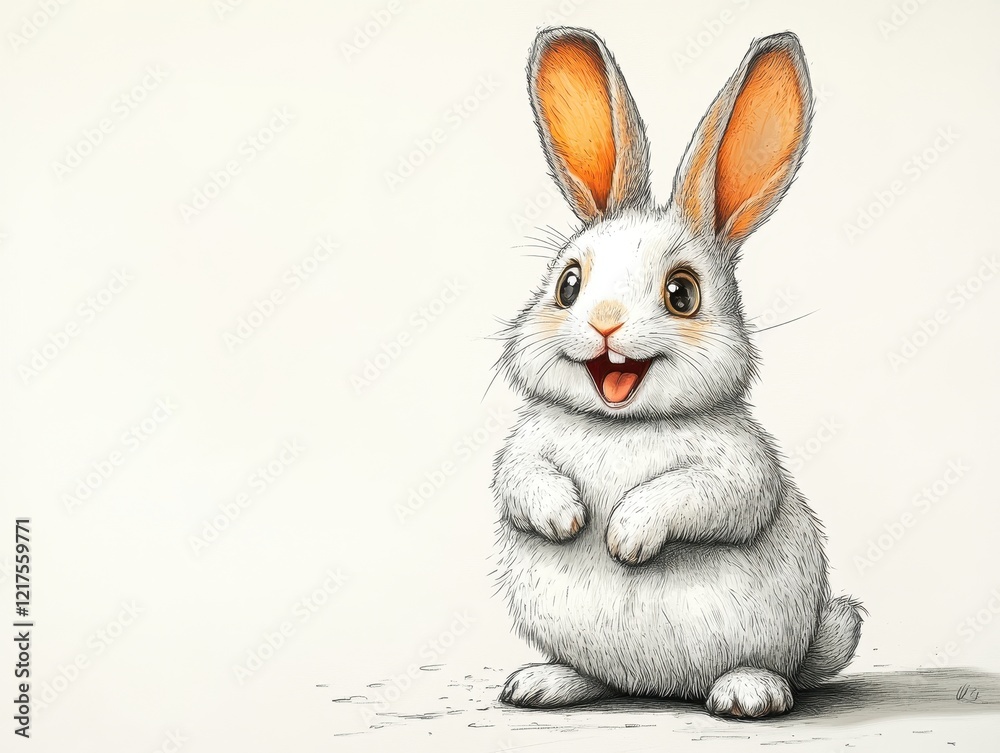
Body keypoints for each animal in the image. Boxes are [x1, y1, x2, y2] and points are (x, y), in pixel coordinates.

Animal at [492, 27, 862, 719]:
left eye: (682, 294)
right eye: (568, 284)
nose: (605, 322)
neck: (621, 426)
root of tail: (655, 686)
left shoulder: (740, 472)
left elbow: (699, 494)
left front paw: (624, 539)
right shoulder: (523, 452)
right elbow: (522, 480)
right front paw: (565, 520)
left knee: (763, 669)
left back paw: (748, 693)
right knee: (598, 677)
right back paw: (543, 683)